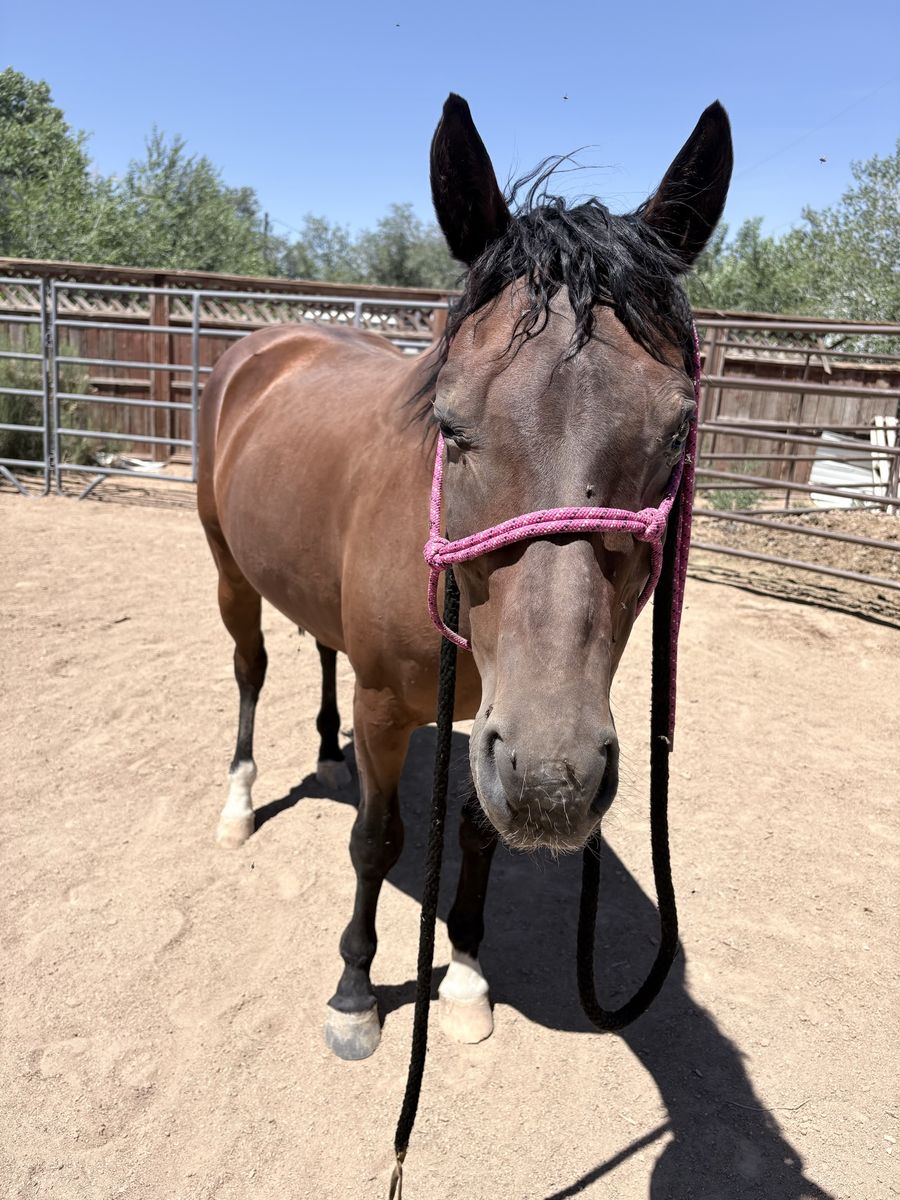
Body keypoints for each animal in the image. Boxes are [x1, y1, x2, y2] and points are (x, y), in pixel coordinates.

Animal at [197, 94, 732, 1061]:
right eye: (449, 424)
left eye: (678, 431)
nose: (556, 781)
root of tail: (264, 344)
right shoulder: (395, 710)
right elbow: (378, 841)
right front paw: (354, 995)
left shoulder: (494, 723)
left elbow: (480, 838)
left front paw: (468, 977)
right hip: (229, 571)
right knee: (250, 671)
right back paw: (240, 804)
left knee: (320, 650)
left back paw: (326, 754)